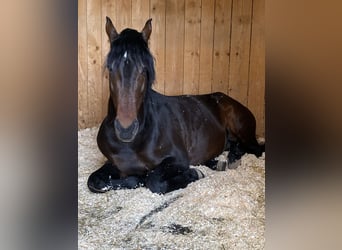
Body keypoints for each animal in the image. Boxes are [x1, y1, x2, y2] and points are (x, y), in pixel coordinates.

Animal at [86, 17, 264, 194]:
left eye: (143, 70)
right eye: (110, 68)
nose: (126, 129)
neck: (133, 143)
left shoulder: (178, 159)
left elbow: (153, 181)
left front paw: (193, 174)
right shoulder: (112, 164)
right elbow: (95, 181)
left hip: (244, 134)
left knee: (256, 149)